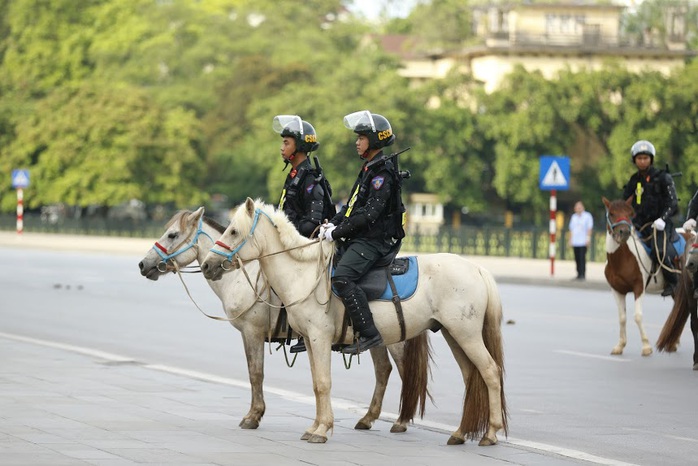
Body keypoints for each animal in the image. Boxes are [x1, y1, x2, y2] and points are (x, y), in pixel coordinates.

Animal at [138, 208, 416, 434]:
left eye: (172, 235)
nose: (143, 264)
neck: (240, 277)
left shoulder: (252, 332)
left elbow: (255, 373)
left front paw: (253, 416)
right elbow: (255, 372)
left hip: (398, 339)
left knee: (406, 372)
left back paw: (401, 421)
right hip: (377, 338)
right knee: (383, 370)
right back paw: (368, 419)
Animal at [198, 198, 502, 444]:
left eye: (233, 231)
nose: (207, 265)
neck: (301, 274)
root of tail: (477, 267)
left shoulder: (315, 336)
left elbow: (321, 382)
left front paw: (321, 430)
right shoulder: (309, 340)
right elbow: (316, 383)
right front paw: (315, 427)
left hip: (464, 334)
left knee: (489, 372)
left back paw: (489, 433)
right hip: (453, 334)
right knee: (470, 376)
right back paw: (460, 433)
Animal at [600, 197, 680, 356]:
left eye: (630, 213)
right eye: (611, 213)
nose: (624, 232)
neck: (621, 259)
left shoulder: (639, 287)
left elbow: (637, 316)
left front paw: (646, 346)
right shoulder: (617, 290)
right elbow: (622, 317)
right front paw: (620, 345)